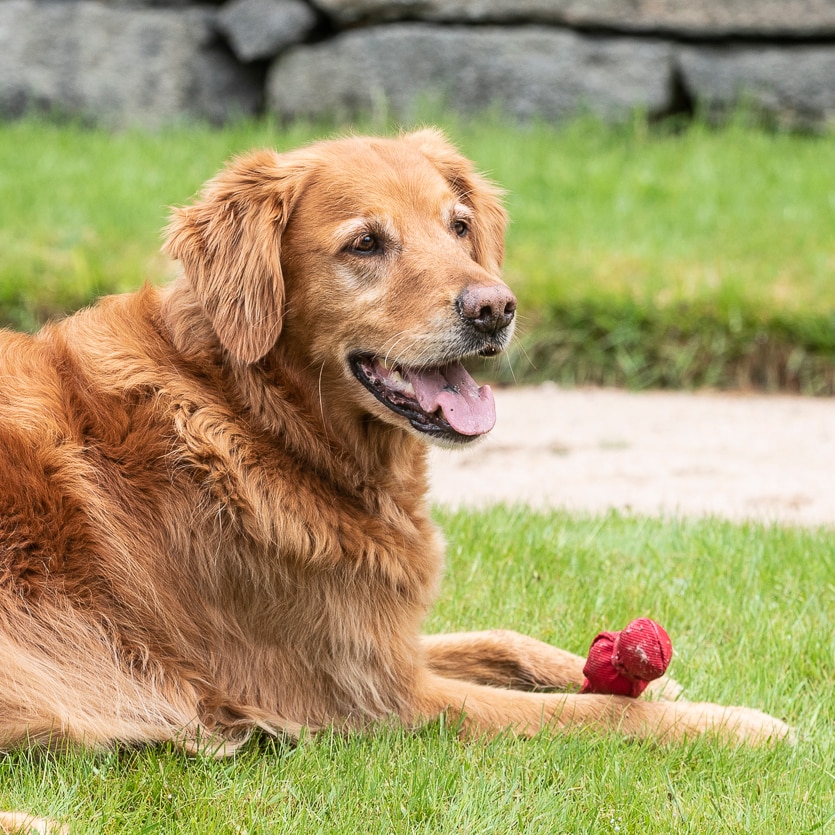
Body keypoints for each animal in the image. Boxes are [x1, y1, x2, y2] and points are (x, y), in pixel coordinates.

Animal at [0, 129, 792, 784]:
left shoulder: (379, 642)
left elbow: (504, 639)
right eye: (365, 244)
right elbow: (594, 714)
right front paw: (739, 724)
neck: (260, 420)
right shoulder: (377, 696)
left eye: (460, 226)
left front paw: (641, 675)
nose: (495, 308)